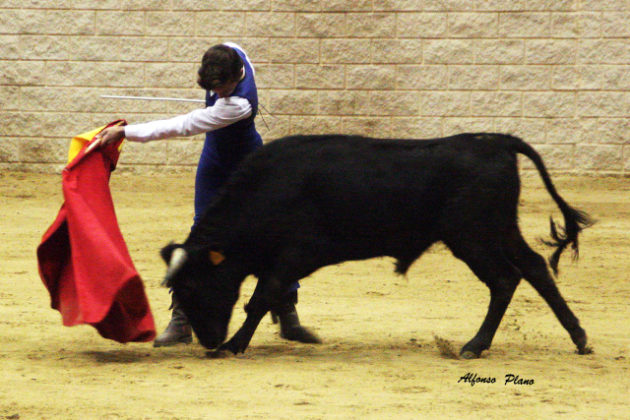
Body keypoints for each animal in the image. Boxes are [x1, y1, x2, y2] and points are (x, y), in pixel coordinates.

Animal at [160, 134, 596, 358]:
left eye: (193, 286)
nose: (208, 342)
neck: (268, 189)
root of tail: (496, 142)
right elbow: (269, 297)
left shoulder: (295, 254)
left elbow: (261, 297)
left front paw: (235, 344)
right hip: (500, 229)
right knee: (535, 267)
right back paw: (579, 338)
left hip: (472, 236)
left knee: (505, 279)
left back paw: (474, 346)